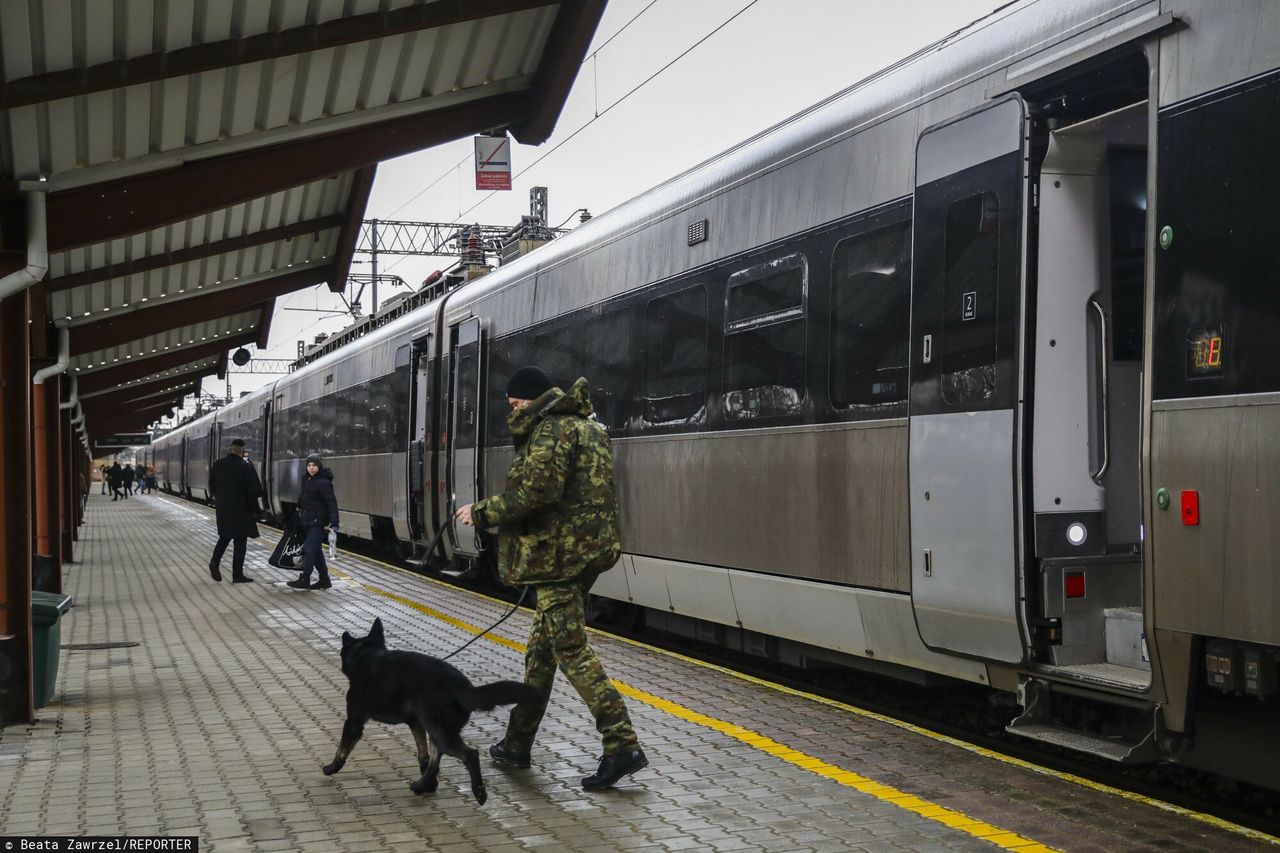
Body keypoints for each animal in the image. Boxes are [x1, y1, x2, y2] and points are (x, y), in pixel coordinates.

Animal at [325, 614, 540, 799]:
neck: (368, 656)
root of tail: (465, 687)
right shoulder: (415, 723)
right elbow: (423, 755)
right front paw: (430, 782)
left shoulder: (353, 722)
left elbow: (342, 748)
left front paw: (332, 767)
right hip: (436, 731)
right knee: (435, 763)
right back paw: (423, 785)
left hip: (441, 733)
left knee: (470, 755)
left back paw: (478, 791)